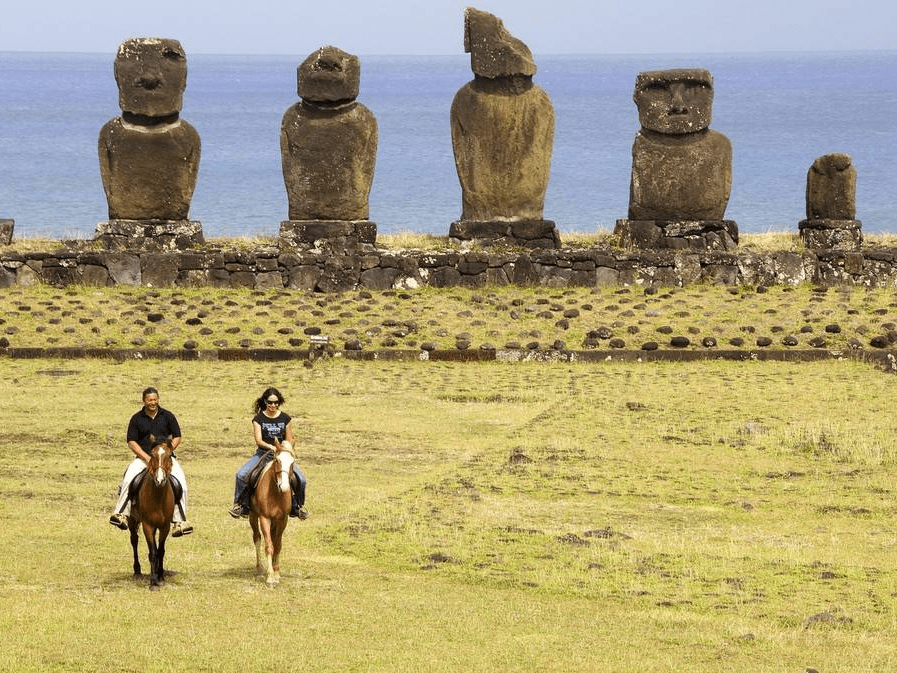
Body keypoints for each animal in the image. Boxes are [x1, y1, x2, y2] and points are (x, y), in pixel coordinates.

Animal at [128, 436, 175, 588]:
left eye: (169, 455)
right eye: (152, 455)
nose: (160, 480)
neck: (158, 496)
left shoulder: (165, 526)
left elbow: (160, 551)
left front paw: (160, 576)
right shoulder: (147, 525)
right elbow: (152, 552)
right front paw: (153, 581)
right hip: (132, 520)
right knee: (134, 540)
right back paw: (137, 570)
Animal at [248, 438, 294, 584]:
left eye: (292, 462)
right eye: (277, 460)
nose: (284, 486)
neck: (275, 493)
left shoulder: (283, 520)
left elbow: (277, 545)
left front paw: (276, 572)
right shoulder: (264, 518)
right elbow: (269, 545)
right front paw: (270, 577)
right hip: (253, 516)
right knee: (257, 538)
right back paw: (259, 568)